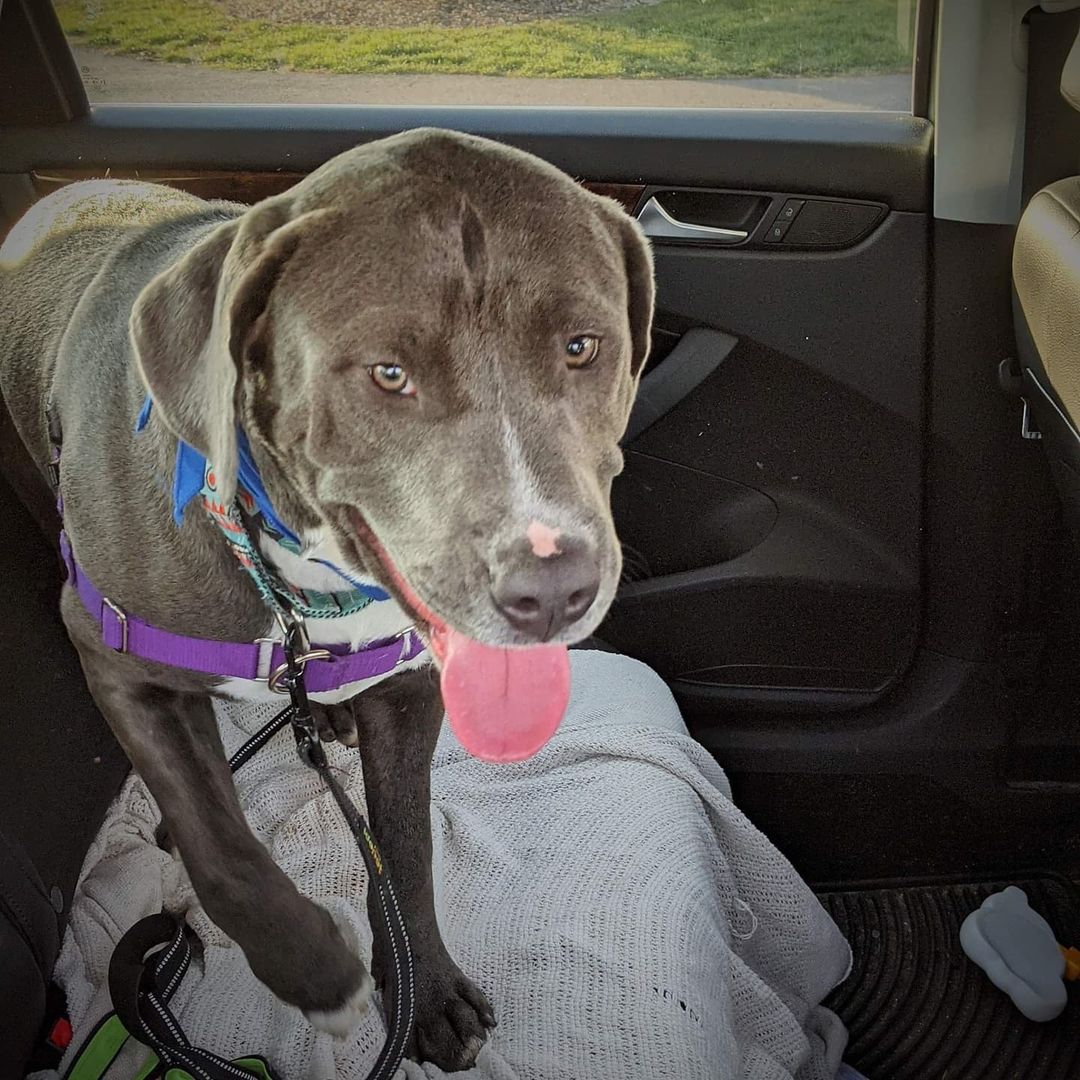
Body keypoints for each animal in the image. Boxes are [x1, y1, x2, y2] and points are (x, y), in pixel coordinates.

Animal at [0, 128, 652, 1071]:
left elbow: (407, 844)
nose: (555, 587)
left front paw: (425, 991)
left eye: (581, 347)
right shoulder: (113, 654)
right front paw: (312, 970)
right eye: (388, 373)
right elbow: (217, 843)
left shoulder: (415, 684)